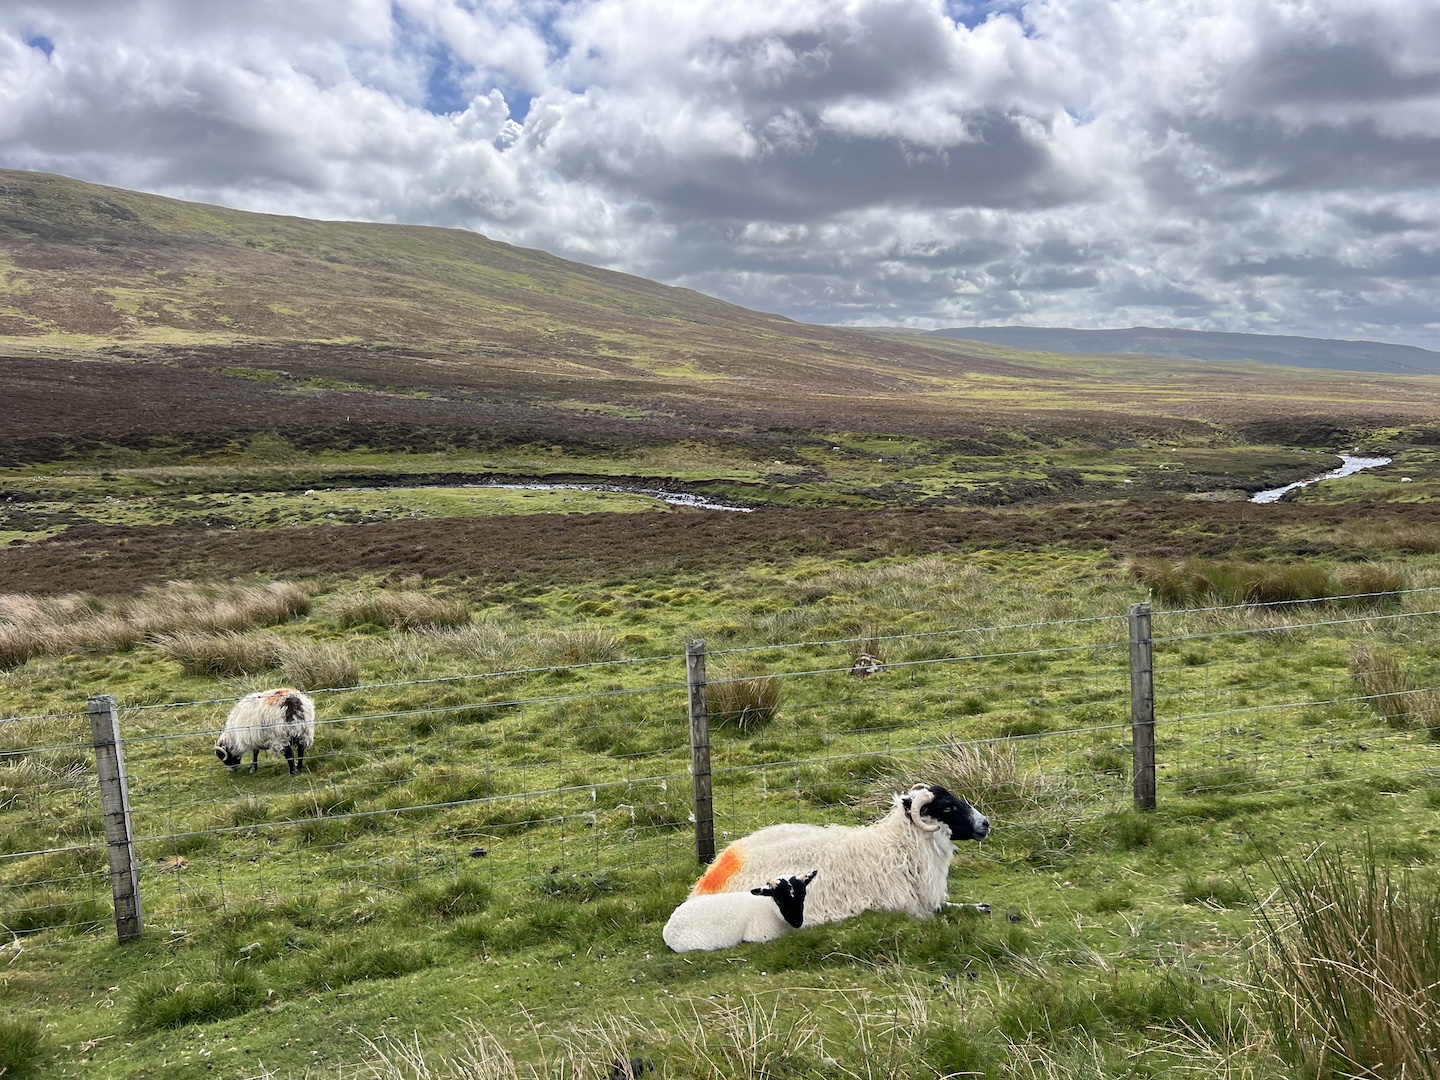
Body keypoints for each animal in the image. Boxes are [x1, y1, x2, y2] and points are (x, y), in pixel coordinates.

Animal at [687, 783, 988, 926]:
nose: (985, 823)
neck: (896, 847)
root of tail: (709, 878)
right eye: (947, 807)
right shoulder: (905, 906)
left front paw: (982, 906)